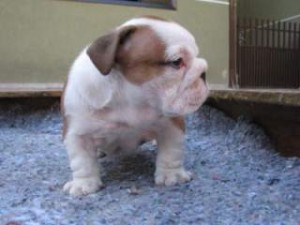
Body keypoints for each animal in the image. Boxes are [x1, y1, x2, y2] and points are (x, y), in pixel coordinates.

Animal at [61, 16, 207, 195]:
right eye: (176, 62)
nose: (204, 72)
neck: (129, 99)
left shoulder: (173, 124)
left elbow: (171, 152)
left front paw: (172, 175)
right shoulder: (77, 133)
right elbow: (82, 161)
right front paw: (84, 184)